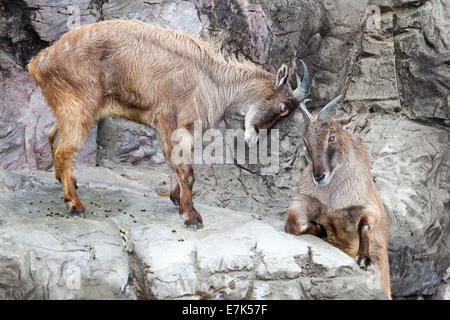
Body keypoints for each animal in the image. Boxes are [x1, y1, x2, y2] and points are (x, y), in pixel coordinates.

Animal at [27, 19, 310, 230]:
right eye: (282, 108)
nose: (254, 139)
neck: (212, 81)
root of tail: (39, 62)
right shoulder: (175, 124)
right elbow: (187, 171)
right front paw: (192, 217)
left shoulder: (165, 127)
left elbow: (172, 162)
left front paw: (176, 199)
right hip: (78, 108)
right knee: (66, 149)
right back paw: (75, 205)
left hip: (70, 110)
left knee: (52, 135)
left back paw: (66, 182)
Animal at [286, 97, 392, 298]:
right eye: (306, 141)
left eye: (331, 137)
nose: (319, 176)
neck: (332, 195)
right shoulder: (305, 199)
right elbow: (292, 225)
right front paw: (320, 229)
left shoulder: (367, 207)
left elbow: (364, 225)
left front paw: (364, 258)